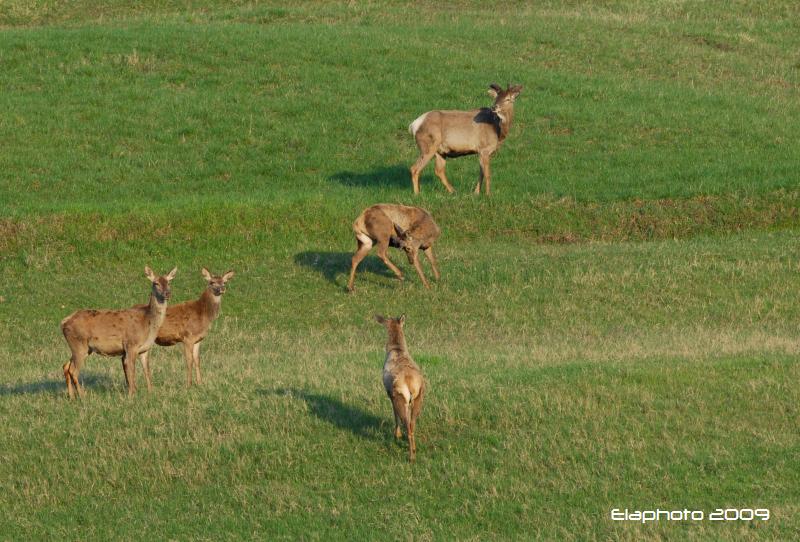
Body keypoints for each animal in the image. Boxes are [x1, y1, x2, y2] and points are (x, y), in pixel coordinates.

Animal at [60, 268, 177, 400]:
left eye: (169, 282)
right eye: (155, 283)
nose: (167, 293)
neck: (147, 323)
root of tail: (63, 322)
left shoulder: (144, 349)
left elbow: (147, 371)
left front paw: (151, 392)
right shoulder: (131, 345)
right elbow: (131, 371)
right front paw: (132, 395)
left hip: (83, 348)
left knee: (66, 366)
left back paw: (71, 396)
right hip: (79, 344)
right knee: (73, 370)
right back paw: (82, 395)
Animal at [376, 314, 424, 464]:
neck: (396, 349)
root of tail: (411, 384)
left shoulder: (389, 393)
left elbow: (394, 414)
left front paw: (396, 434)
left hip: (400, 396)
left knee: (407, 425)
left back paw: (411, 457)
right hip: (418, 398)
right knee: (412, 424)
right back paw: (414, 449)